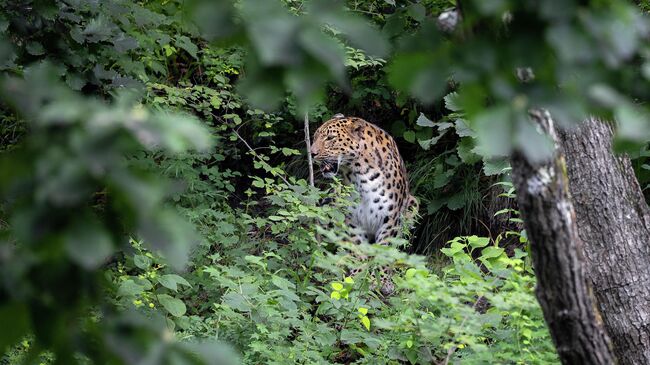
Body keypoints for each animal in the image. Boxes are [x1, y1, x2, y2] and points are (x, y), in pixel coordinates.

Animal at [310, 113, 420, 292]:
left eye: (330, 138)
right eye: (314, 137)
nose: (312, 153)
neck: (359, 174)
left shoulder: (390, 219)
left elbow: (383, 251)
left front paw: (383, 281)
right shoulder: (352, 219)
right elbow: (358, 249)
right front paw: (357, 276)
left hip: (413, 203)